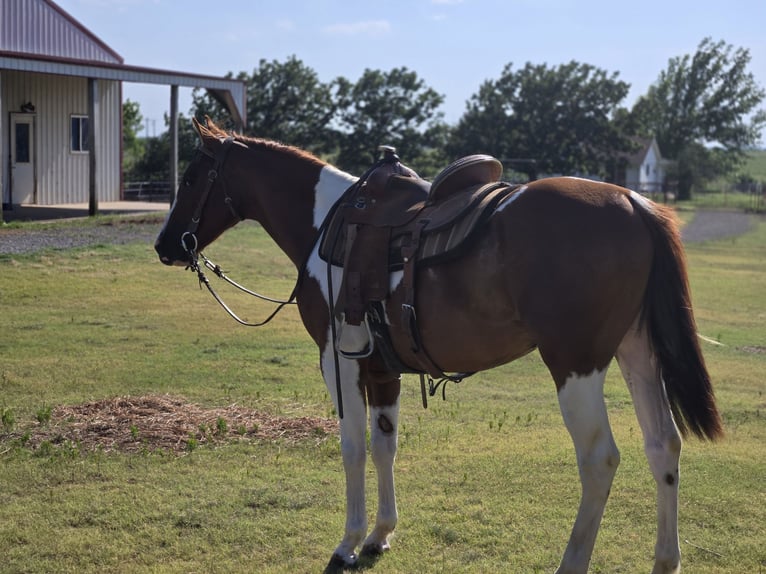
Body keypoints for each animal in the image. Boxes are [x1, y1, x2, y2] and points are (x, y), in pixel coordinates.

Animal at [158, 118, 728, 574]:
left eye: (191, 177)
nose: (165, 245)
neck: (326, 224)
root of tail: (633, 201)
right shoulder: (381, 369)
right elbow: (384, 443)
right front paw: (380, 534)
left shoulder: (337, 361)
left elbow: (352, 447)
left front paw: (348, 542)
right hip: (637, 355)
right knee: (663, 445)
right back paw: (665, 560)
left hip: (575, 364)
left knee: (599, 459)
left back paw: (572, 562)